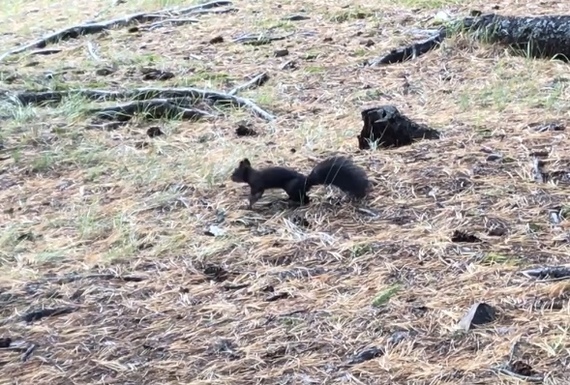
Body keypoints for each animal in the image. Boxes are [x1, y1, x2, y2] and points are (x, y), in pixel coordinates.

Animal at [230, 155, 368, 208]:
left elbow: (255, 195)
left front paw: (248, 204)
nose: (231, 178)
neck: (251, 175)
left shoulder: (257, 185)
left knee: (305, 199)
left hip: (291, 187)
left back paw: (291, 202)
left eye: (235, 173)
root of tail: (306, 181)